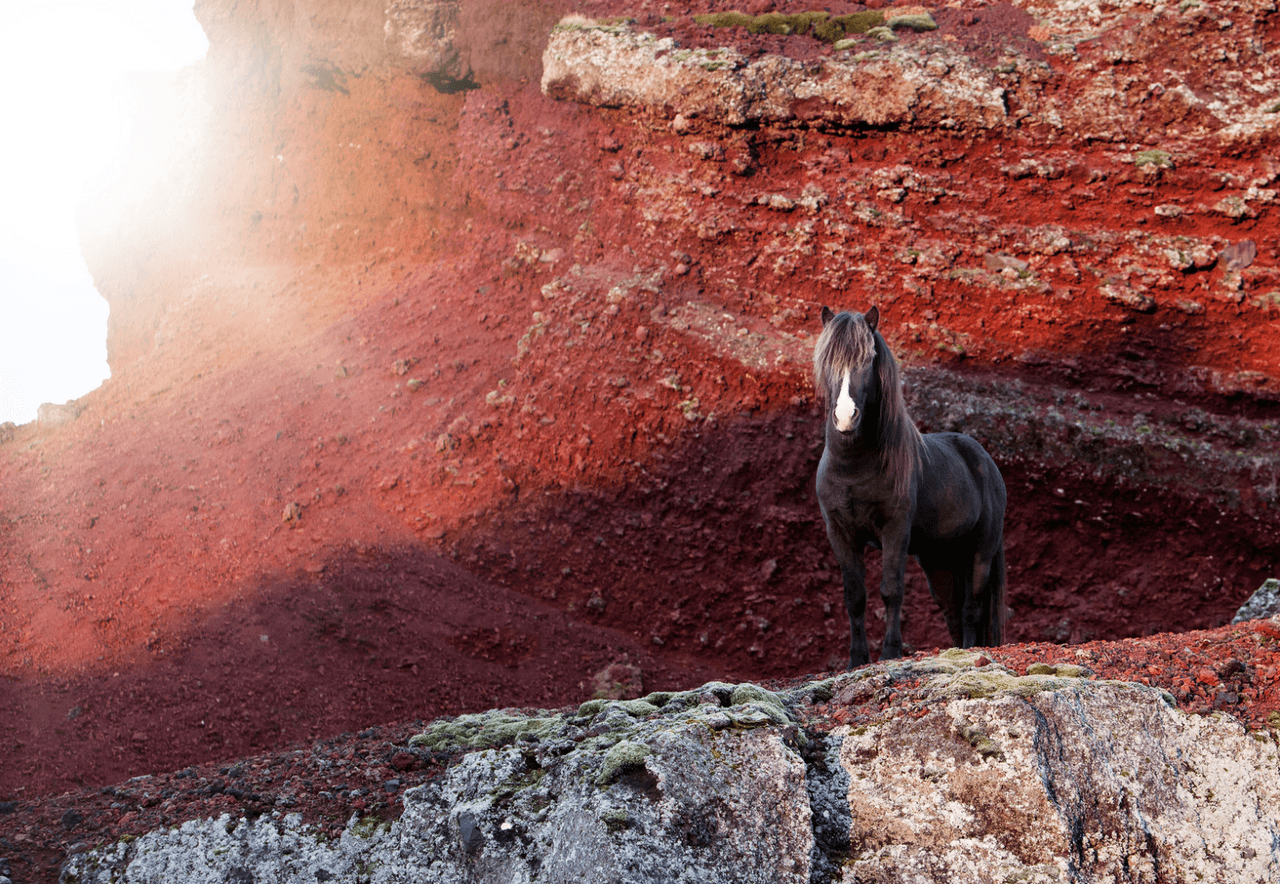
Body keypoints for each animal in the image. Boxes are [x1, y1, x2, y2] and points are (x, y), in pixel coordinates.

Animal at [813, 305, 1007, 667]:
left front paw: (890, 652)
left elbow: (891, 590)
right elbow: (855, 597)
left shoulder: (895, 529)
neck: (853, 467)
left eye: (868, 358)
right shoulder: (840, 532)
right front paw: (857, 659)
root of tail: (985, 461)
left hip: (981, 552)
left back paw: (971, 652)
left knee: (972, 607)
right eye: (827, 358)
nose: (845, 417)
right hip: (941, 560)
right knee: (953, 610)